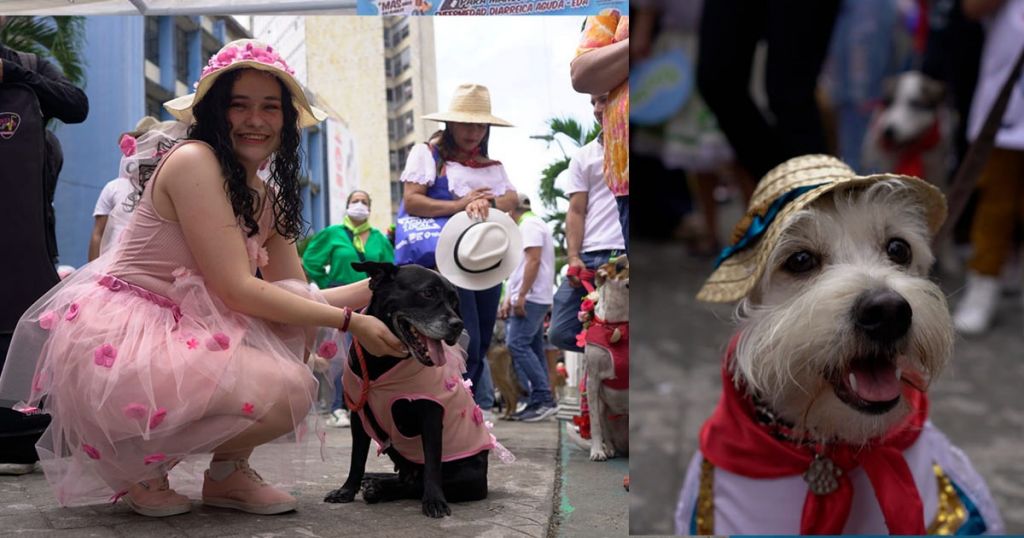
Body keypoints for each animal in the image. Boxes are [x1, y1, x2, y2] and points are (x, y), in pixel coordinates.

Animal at [323, 262, 507, 518]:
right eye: (428, 293)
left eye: (455, 301)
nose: (458, 325)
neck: (383, 361)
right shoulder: (359, 415)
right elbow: (357, 458)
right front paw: (347, 490)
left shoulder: (431, 414)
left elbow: (432, 462)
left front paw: (434, 500)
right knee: (405, 478)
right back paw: (374, 480)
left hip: (467, 477)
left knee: (413, 484)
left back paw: (378, 488)